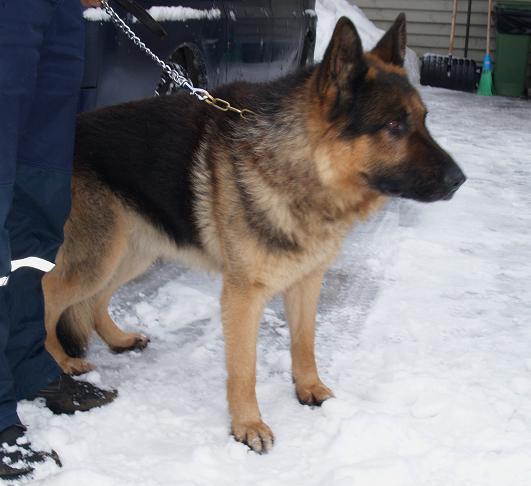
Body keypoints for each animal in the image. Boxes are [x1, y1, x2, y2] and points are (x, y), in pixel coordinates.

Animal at [42, 14, 466, 453]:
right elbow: (244, 369)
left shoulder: (307, 282)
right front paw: (248, 425)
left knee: (95, 300)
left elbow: (304, 343)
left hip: (131, 251)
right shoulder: (243, 295)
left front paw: (309, 387)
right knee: (46, 295)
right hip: (96, 256)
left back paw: (118, 338)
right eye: (393, 125)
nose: (460, 180)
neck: (301, 166)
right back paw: (59, 362)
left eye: (422, 119)